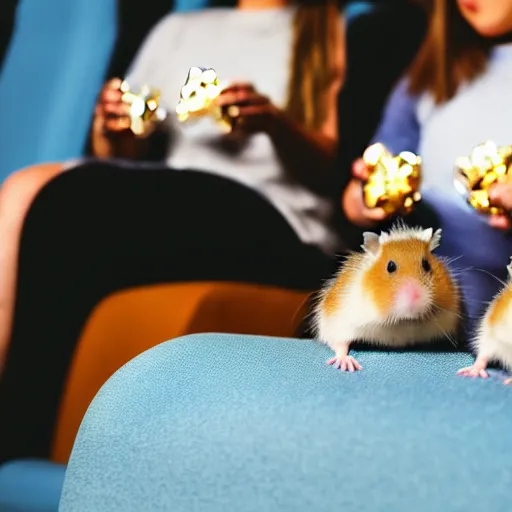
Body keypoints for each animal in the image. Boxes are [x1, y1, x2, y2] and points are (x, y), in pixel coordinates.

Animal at [314, 224, 462, 372]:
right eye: (390, 266)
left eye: (426, 265)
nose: (416, 298)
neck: (403, 320)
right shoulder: (337, 318)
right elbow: (339, 343)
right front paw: (347, 366)